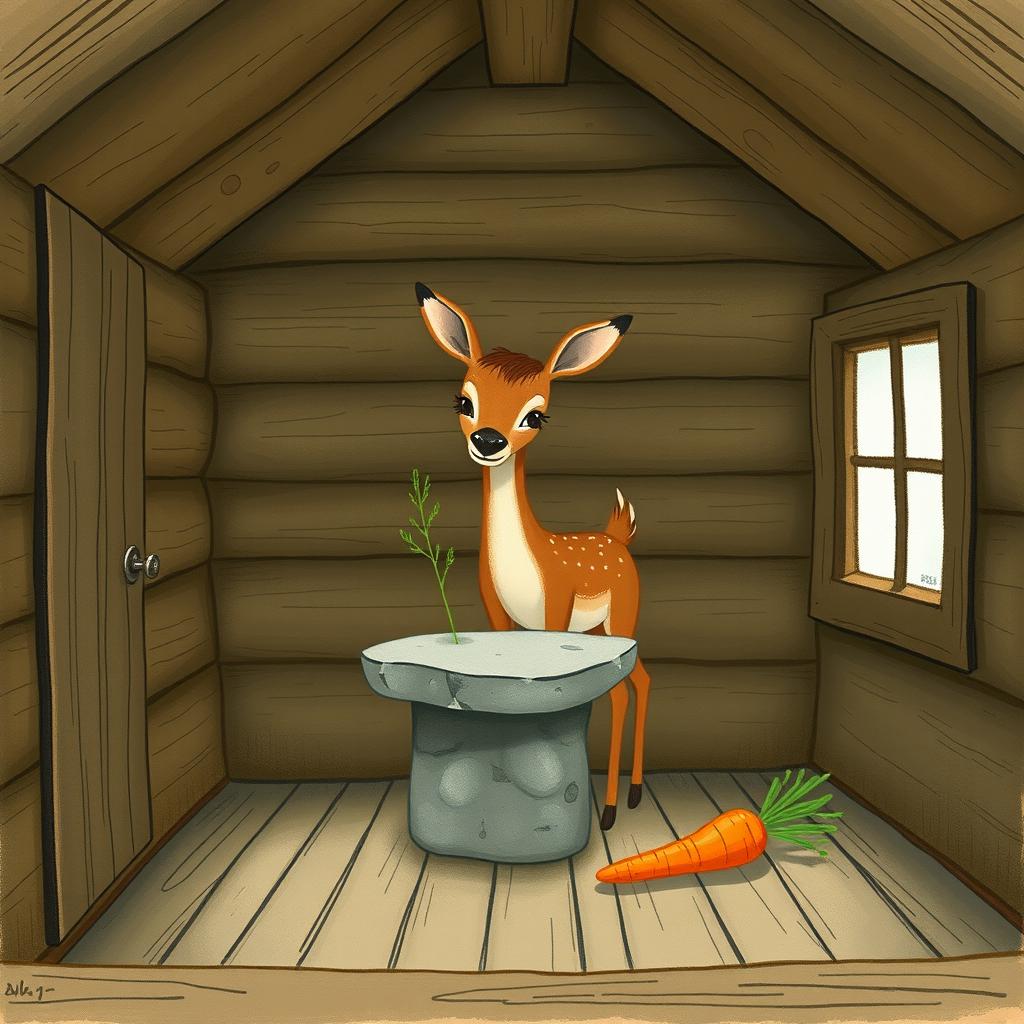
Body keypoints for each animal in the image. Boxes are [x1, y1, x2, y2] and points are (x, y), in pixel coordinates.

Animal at [415, 282, 650, 830]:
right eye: (464, 400)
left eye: (535, 414)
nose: (489, 440)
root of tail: (618, 537)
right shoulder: (495, 610)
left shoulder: (558, 603)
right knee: (638, 681)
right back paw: (631, 795)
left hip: (623, 613)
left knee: (626, 688)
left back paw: (614, 807)